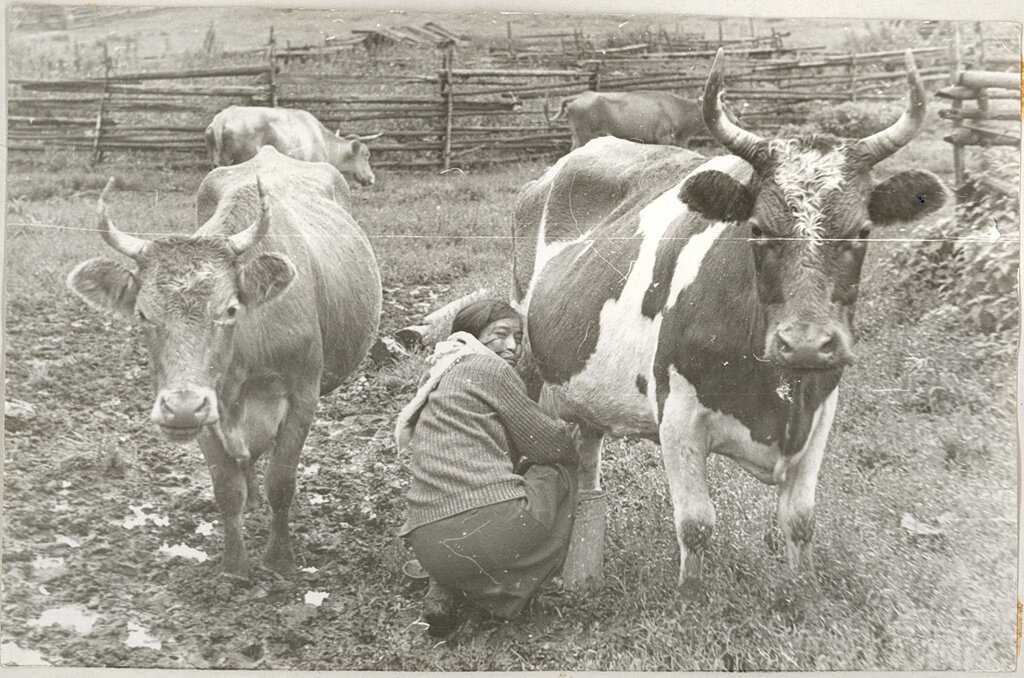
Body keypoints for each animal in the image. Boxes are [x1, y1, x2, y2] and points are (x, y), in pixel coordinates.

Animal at [66, 148, 385, 577]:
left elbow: (281, 481)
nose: (182, 406)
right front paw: (234, 565)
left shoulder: (303, 394)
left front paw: (279, 560)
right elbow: (226, 489)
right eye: (143, 315)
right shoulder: (207, 406)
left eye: (230, 309)